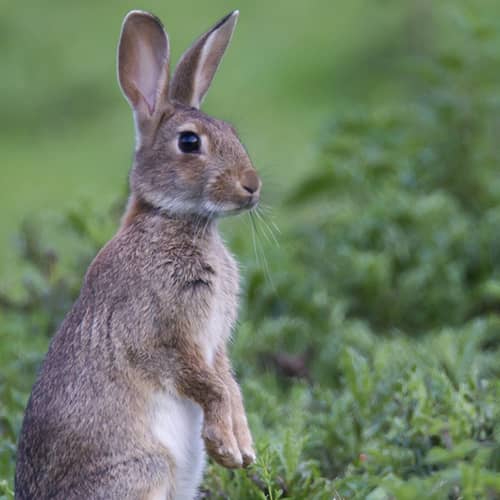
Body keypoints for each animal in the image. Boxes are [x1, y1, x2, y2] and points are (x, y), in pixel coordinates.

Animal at [13, 8, 260, 500]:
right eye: (190, 142)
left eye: (233, 132)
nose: (252, 185)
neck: (174, 219)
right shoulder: (159, 335)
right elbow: (210, 385)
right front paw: (226, 448)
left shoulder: (214, 343)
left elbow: (229, 383)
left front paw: (243, 446)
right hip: (145, 470)